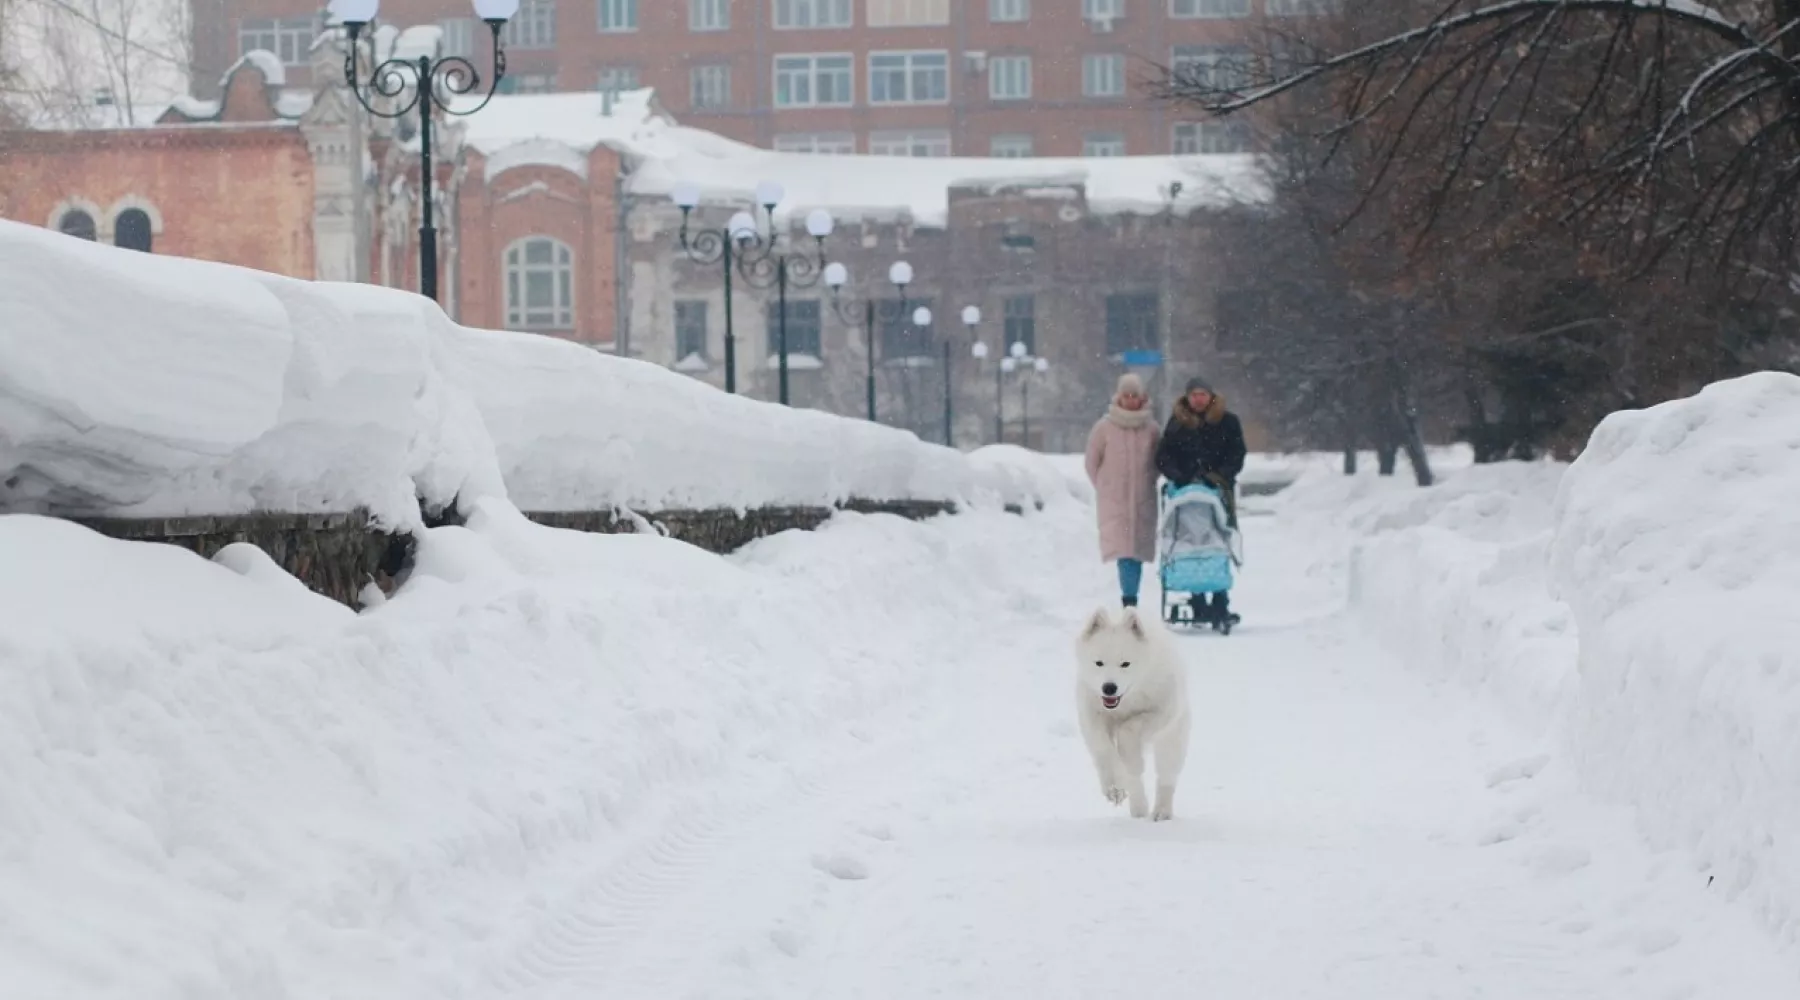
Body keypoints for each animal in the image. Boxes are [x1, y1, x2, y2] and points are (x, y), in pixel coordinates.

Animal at [1072, 600, 1188, 820]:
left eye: (1125, 664)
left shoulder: (1163, 711)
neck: (1127, 700)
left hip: (1171, 739)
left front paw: (1130, 758)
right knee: (1134, 780)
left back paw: (1161, 812)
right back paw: (1137, 806)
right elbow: (1103, 748)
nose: (1109, 687)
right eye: (1098, 663)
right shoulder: (1091, 714)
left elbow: (1129, 730)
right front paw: (1114, 786)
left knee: (1166, 777)